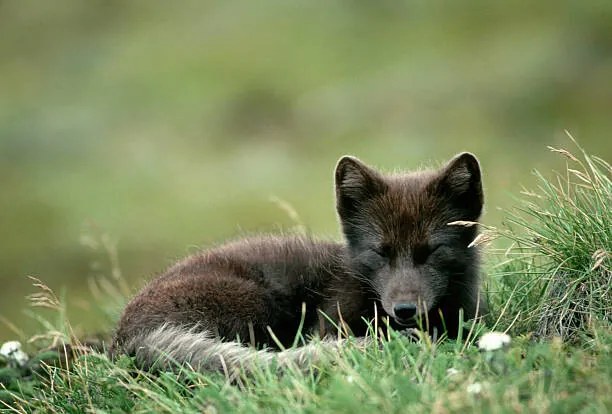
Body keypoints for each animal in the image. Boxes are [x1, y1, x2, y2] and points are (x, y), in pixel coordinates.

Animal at [110, 154, 488, 374]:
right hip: (254, 304)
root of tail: (127, 338)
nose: (405, 310)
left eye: (432, 250)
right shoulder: (328, 324)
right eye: (380, 252)